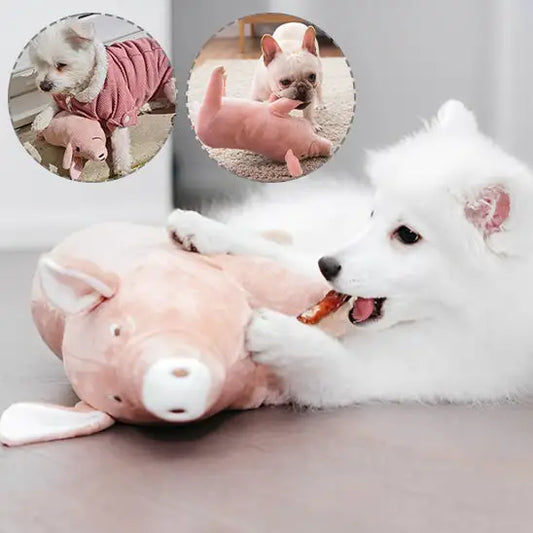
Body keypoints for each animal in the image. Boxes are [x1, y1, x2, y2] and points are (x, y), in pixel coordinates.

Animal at [29, 18, 175, 175]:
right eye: (39, 65)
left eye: (61, 65)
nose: (44, 86)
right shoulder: (62, 96)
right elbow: (52, 104)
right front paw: (40, 120)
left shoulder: (120, 112)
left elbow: (120, 141)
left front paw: (121, 164)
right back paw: (144, 106)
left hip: (170, 86)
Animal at [168, 101, 532, 408]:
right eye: (372, 214)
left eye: (407, 235)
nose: (326, 266)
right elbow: (277, 252)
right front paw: (202, 228)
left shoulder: (409, 370)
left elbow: (332, 362)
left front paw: (281, 334)